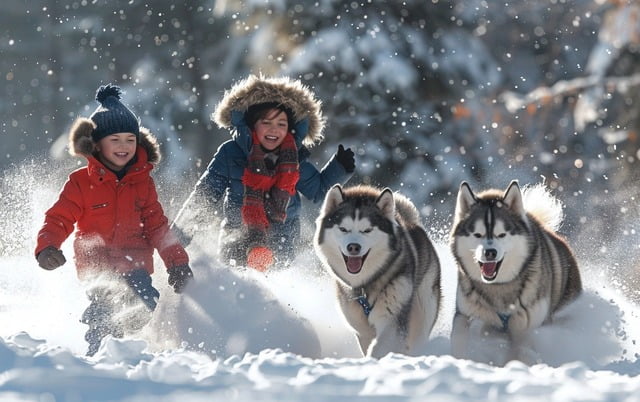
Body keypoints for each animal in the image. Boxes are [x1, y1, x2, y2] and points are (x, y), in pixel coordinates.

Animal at [314, 184, 440, 356]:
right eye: (343, 229)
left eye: (367, 230)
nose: (353, 247)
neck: (364, 286)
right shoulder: (361, 329)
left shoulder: (393, 319)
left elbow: (380, 347)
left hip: (423, 308)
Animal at [450, 181, 580, 362]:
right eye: (477, 234)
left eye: (501, 234)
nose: (490, 252)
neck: (498, 287)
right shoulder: (464, 312)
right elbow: (459, 337)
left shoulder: (524, 329)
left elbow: (519, 351)